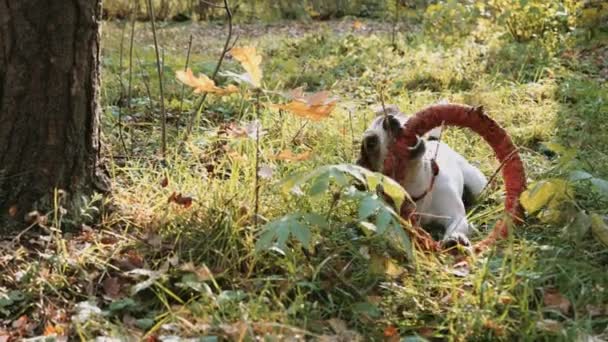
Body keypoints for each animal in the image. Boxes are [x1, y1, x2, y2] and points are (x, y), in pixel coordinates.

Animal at [358, 105, 486, 247]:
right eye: (371, 143)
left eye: (398, 115)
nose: (389, 120)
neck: (417, 184)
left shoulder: (456, 215)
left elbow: (457, 224)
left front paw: (455, 238)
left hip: (478, 185)